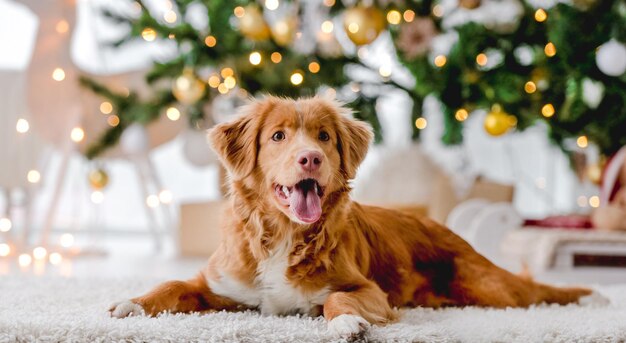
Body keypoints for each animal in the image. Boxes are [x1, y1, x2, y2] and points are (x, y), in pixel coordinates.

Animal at [109, 96, 604, 338]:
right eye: (278, 136)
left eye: (324, 136)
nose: (310, 158)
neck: (284, 235)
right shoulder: (218, 286)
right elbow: (172, 284)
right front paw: (132, 303)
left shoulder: (368, 289)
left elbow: (336, 300)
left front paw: (346, 323)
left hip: (493, 288)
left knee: (535, 291)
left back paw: (588, 295)